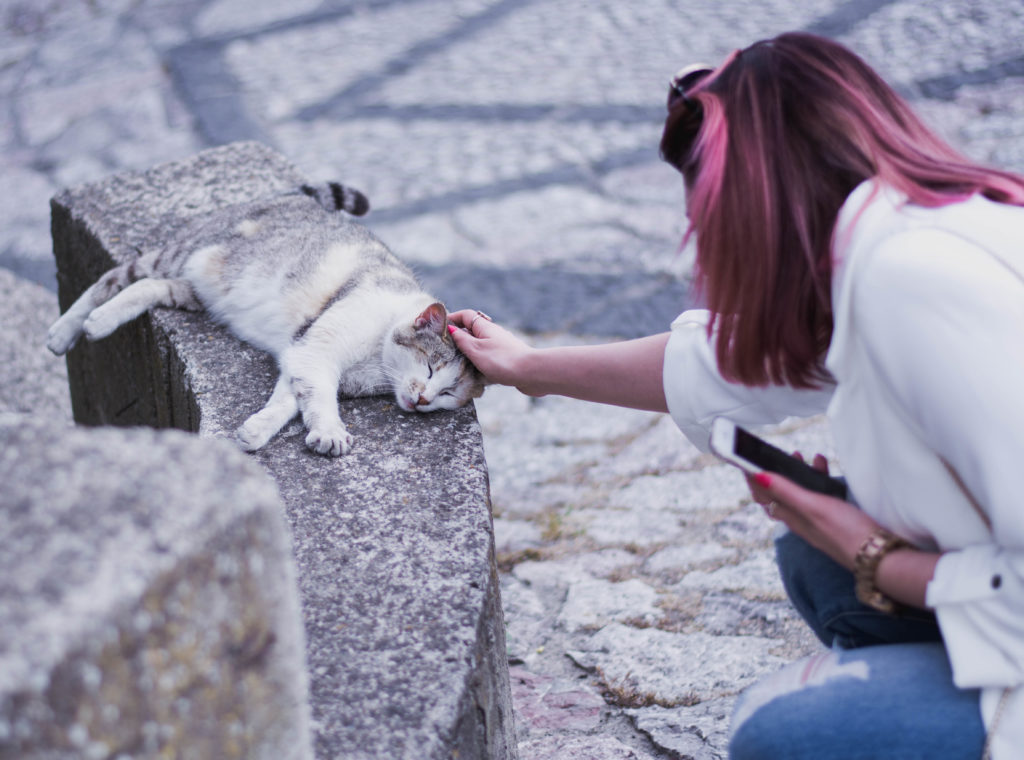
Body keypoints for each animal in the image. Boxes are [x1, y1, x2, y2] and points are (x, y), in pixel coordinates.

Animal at [49, 183, 489, 458]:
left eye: (447, 394)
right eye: (430, 367)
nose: (423, 400)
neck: (375, 360)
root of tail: (292, 197)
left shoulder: (304, 354)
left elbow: (289, 400)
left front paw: (255, 432)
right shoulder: (319, 347)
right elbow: (317, 398)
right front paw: (330, 433)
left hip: (195, 289)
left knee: (151, 287)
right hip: (180, 252)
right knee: (114, 278)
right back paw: (76, 327)